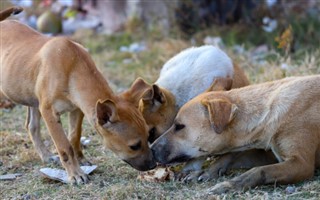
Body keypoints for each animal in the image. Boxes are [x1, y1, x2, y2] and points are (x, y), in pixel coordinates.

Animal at [0, 7, 156, 184]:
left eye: (149, 135)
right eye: (134, 146)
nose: (154, 165)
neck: (74, 66)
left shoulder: (77, 109)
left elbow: (74, 136)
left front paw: (81, 160)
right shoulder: (49, 112)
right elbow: (64, 146)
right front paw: (75, 174)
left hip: (31, 98)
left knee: (31, 126)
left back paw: (46, 156)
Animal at [151, 75, 320, 194]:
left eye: (179, 126)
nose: (151, 149)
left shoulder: (301, 164)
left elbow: (259, 170)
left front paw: (230, 184)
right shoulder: (265, 153)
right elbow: (228, 157)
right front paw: (207, 171)